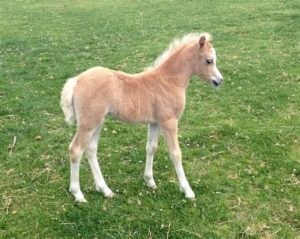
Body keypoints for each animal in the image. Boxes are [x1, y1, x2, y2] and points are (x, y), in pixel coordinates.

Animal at [60, 32, 223, 203]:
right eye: (209, 60)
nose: (219, 80)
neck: (169, 81)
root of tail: (76, 80)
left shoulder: (155, 123)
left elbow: (151, 148)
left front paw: (150, 181)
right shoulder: (169, 122)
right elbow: (175, 153)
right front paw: (188, 191)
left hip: (98, 122)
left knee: (91, 149)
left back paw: (105, 190)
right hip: (88, 123)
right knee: (76, 150)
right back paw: (78, 194)